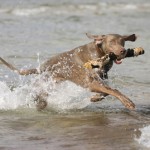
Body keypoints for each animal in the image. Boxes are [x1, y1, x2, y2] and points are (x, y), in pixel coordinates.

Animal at [0, 33, 144, 110]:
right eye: (112, 42)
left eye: (123, 42)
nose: (123, 51)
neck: (98, 54)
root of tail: (41, 67)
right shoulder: (90, 83)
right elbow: (114, 91)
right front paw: (128, 102)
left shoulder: (99, 81)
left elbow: (106, 92)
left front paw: (96, 98)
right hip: (43, 87)